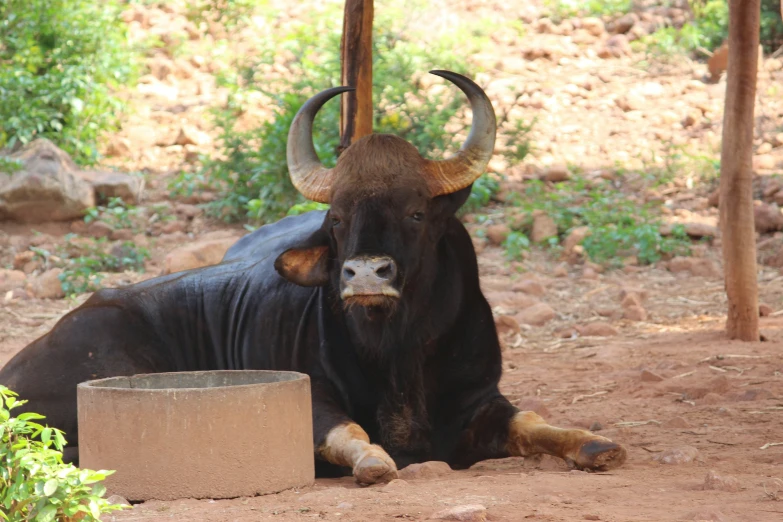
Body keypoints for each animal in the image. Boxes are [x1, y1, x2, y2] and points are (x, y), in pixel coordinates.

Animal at [0, 205, 624, 482]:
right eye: (340, 223)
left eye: (418, 217)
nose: (367, 271)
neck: (401, 356)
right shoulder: (314, 396)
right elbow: (347, 432)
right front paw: (375, 463)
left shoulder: (480, 402)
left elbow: (534, 423)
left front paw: (596, 445)